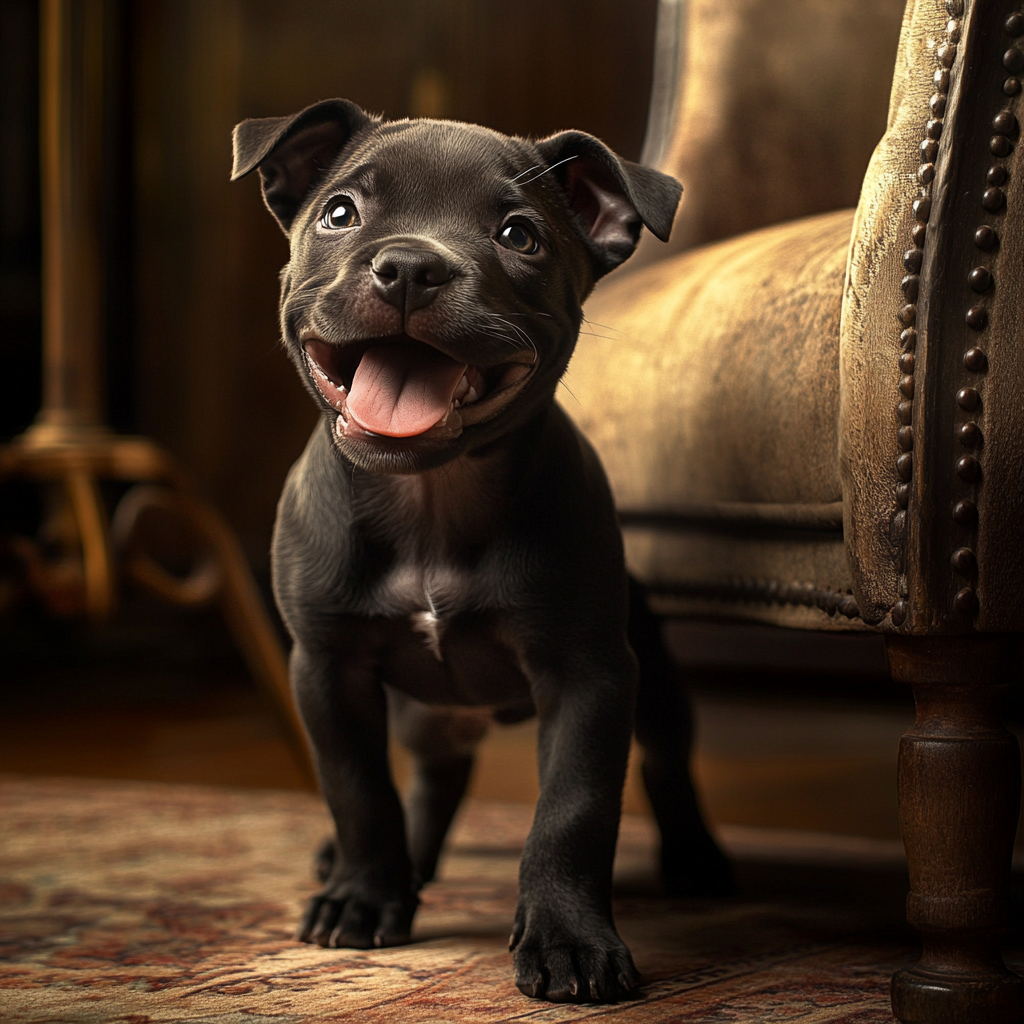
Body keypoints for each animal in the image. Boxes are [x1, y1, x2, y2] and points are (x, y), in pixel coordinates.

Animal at [232, 99, 729, 1003]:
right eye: (340, 214)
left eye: (518, 235)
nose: (408, 268)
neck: (431, 497)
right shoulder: (326, 669)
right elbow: (358, 790)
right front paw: (363, 898)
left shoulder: (592, 675)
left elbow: (573, 811)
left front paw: (570, 941)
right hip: (425, 710)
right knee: (430, 779)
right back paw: (406, 871)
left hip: (655, 676)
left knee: (669, 759)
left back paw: (697, 859)